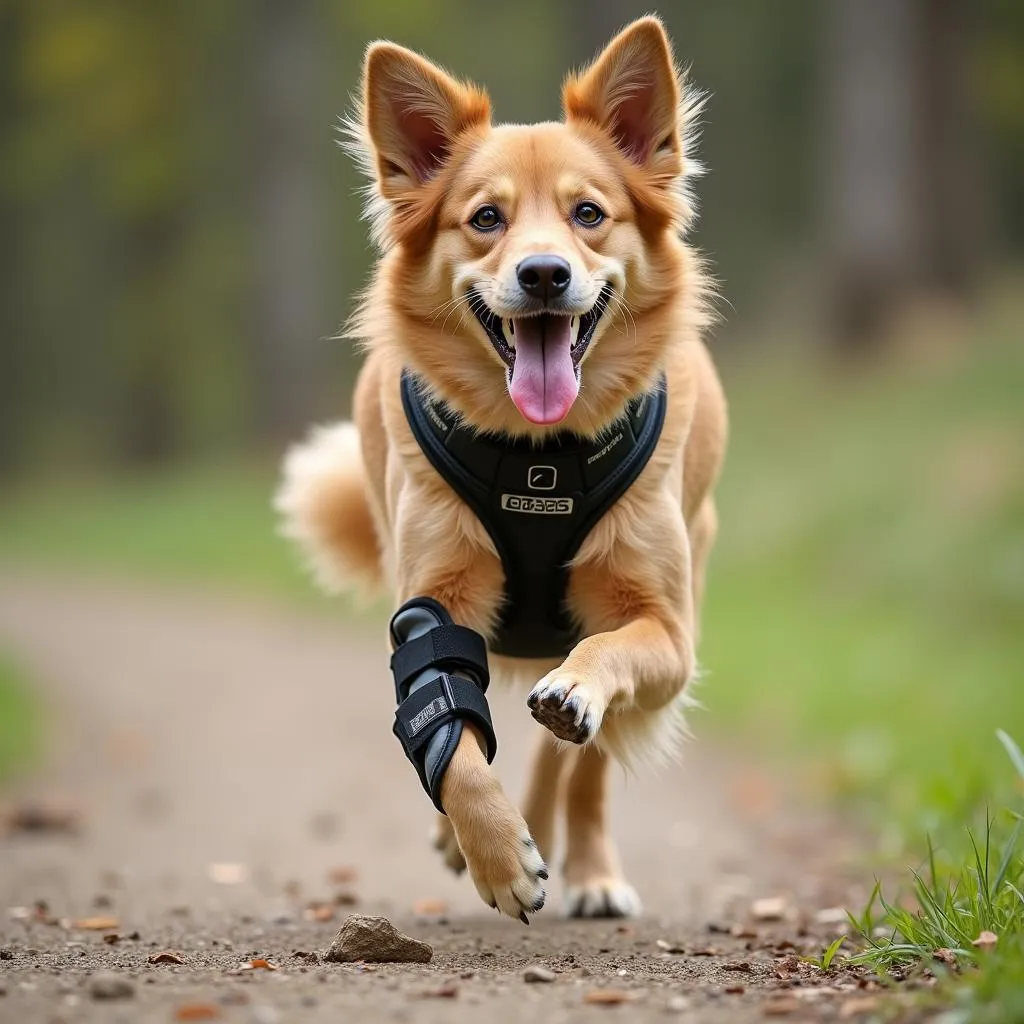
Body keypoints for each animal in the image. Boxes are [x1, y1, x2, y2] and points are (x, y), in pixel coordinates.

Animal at [278, 16, 729, 925]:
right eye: (485, 218)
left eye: (589, 214)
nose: (544, 273)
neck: (539, 457)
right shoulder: (430, 601)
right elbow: (449, 732)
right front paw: (489, 849)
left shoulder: (668, 632)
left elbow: (603, 665)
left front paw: (572, 700)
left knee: (581, 760)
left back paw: (589, 865)